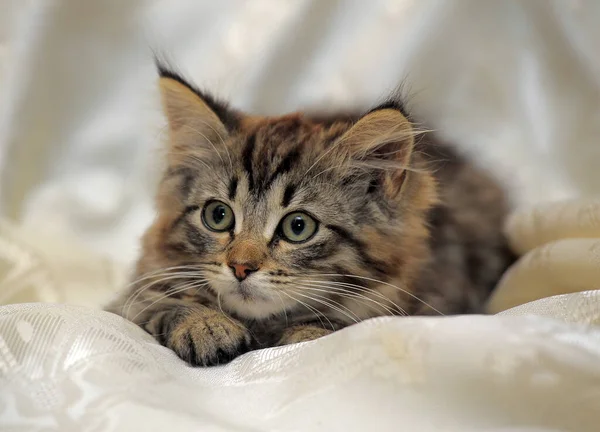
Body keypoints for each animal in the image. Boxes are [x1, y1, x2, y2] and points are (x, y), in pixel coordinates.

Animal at [105, 64, 512, 366]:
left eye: (297, 227)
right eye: (217, 216)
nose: (240, 267)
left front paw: (307, 333)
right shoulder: (133, 296)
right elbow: (159, 300)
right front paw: (204, 324)